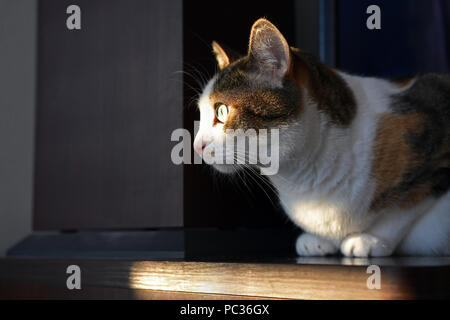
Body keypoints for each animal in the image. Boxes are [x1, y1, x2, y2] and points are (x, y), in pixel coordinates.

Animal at [193, 18, 450, 258]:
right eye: (201, 113)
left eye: (221, 111)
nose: (196, 146)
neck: (302, 179)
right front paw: (319, 241)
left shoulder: (434, 161)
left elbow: (403, 210)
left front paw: (371, 239)